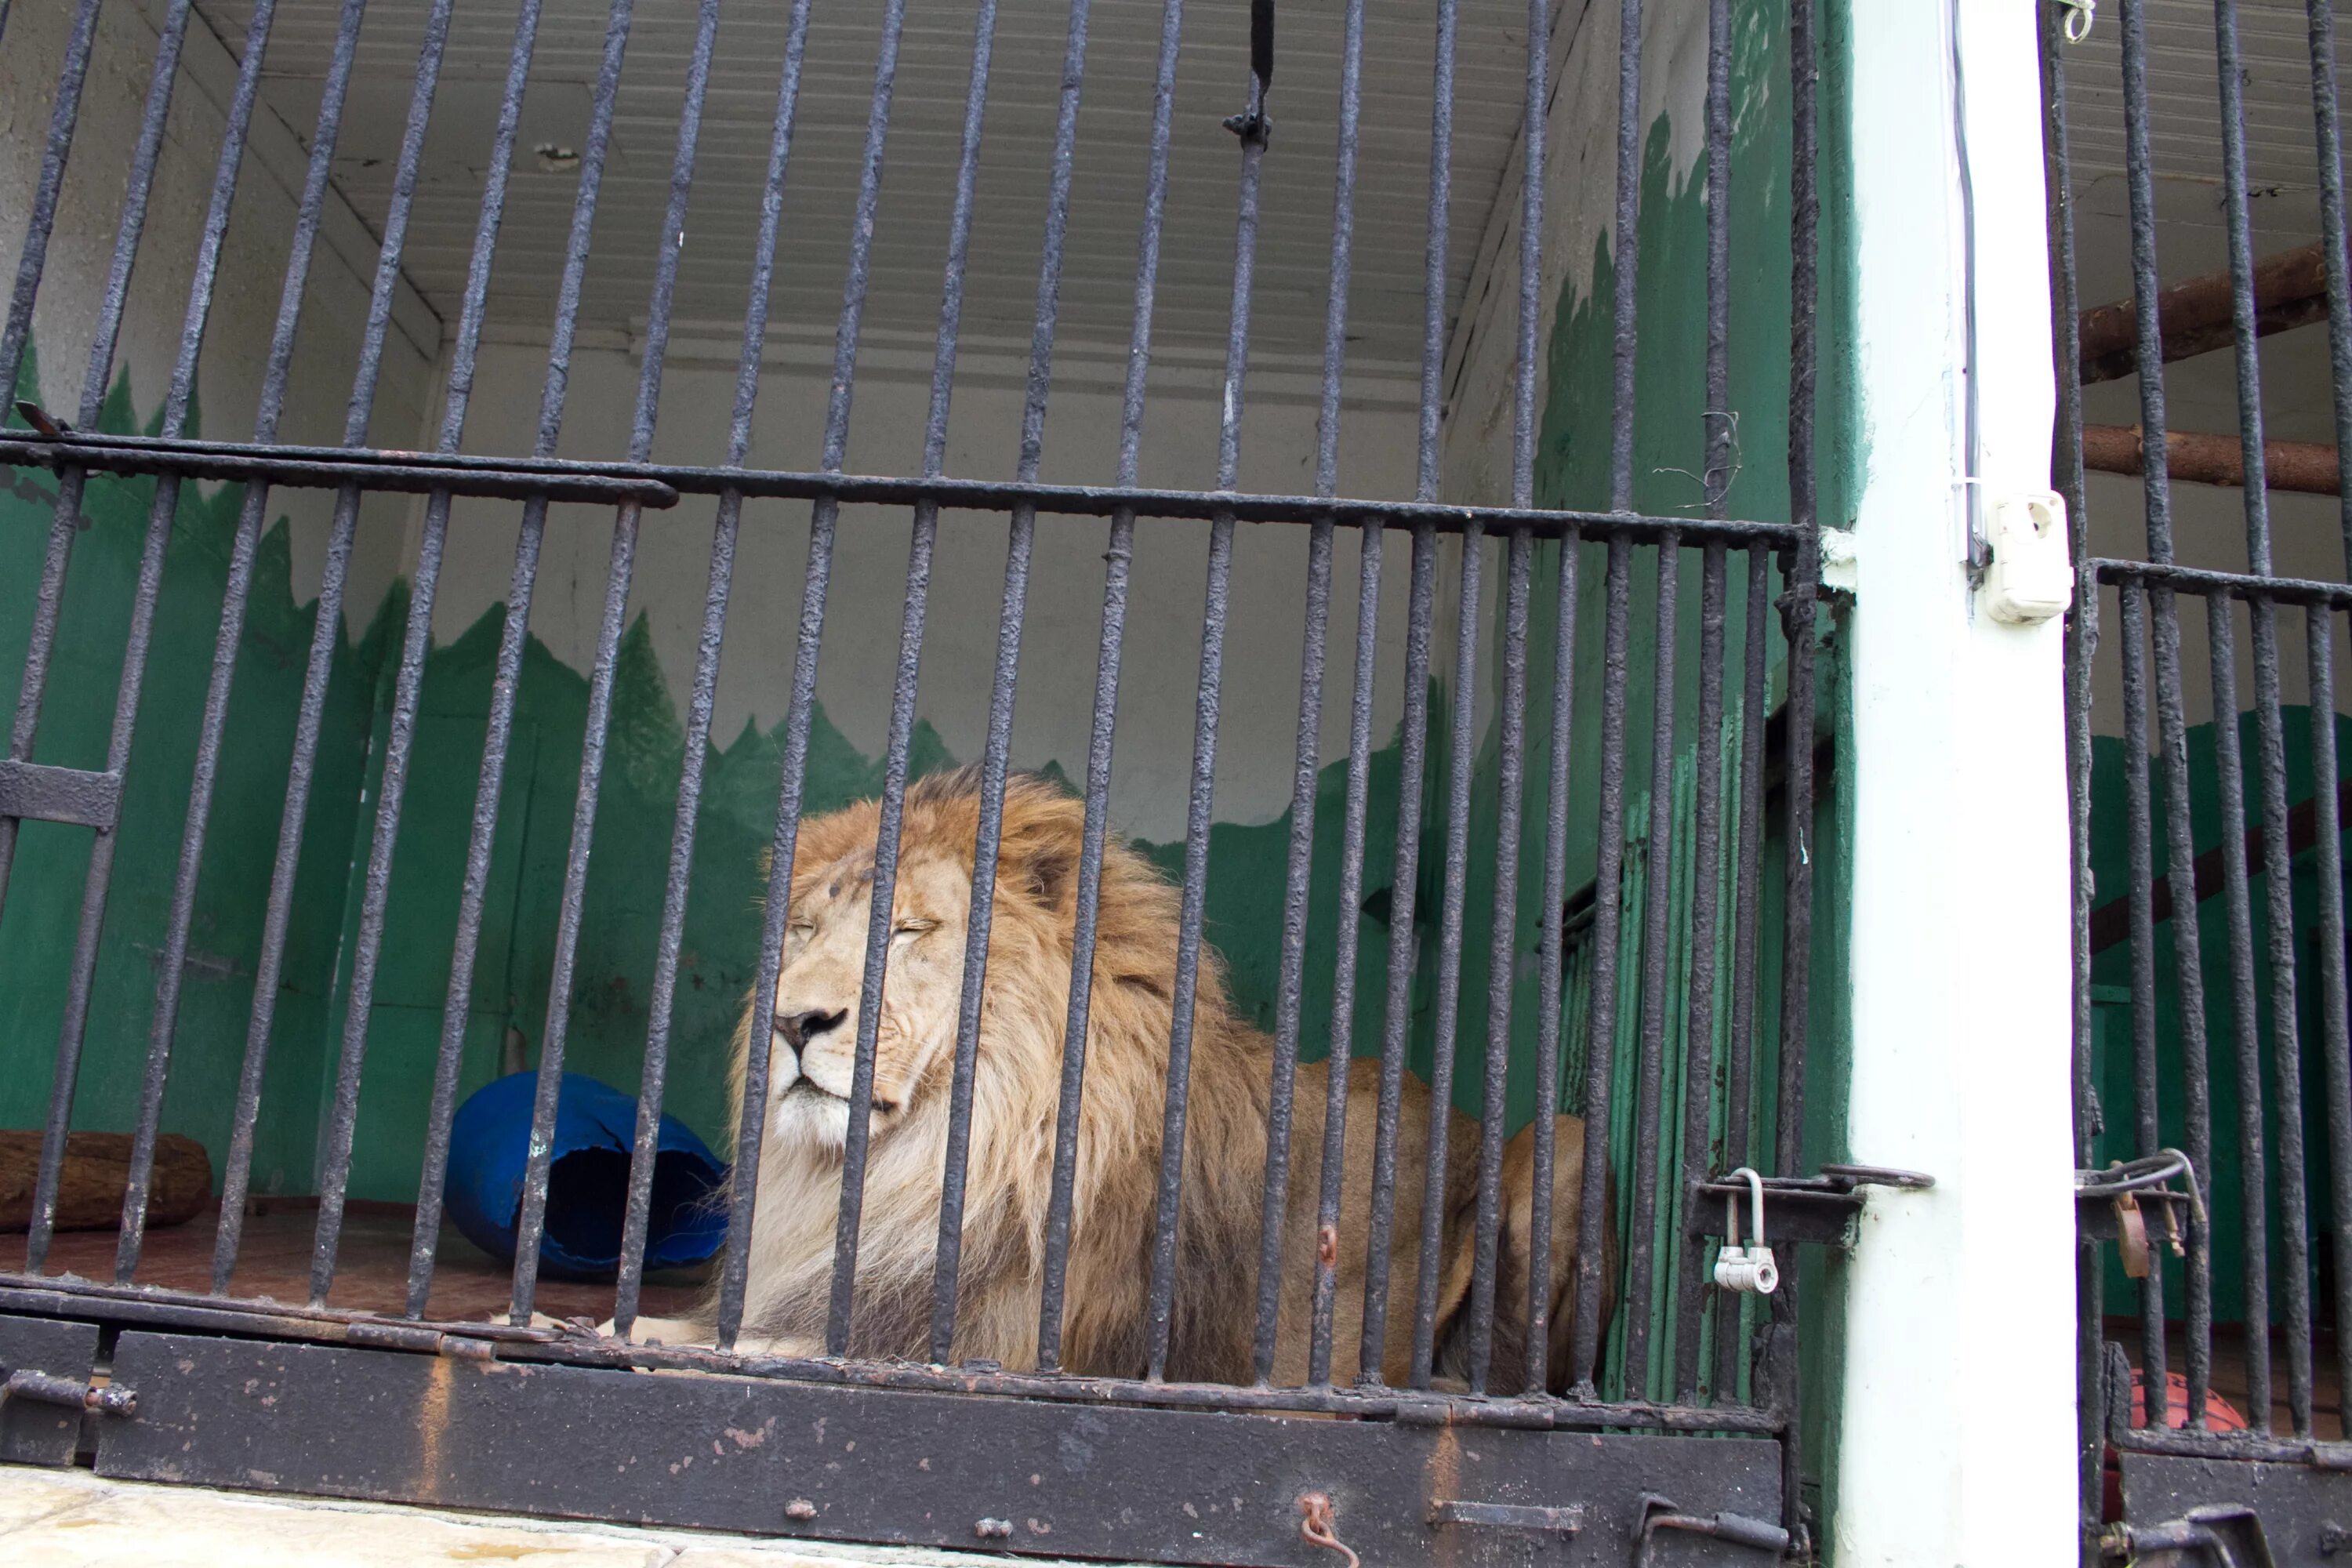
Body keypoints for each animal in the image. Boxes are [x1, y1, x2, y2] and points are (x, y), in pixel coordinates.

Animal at [616, 766, 1618, 1392]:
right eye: (804, 933)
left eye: (903, 931)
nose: (794, 1022)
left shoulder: (1001, 1342)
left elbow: (754, 1344)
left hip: (1566, 1142)